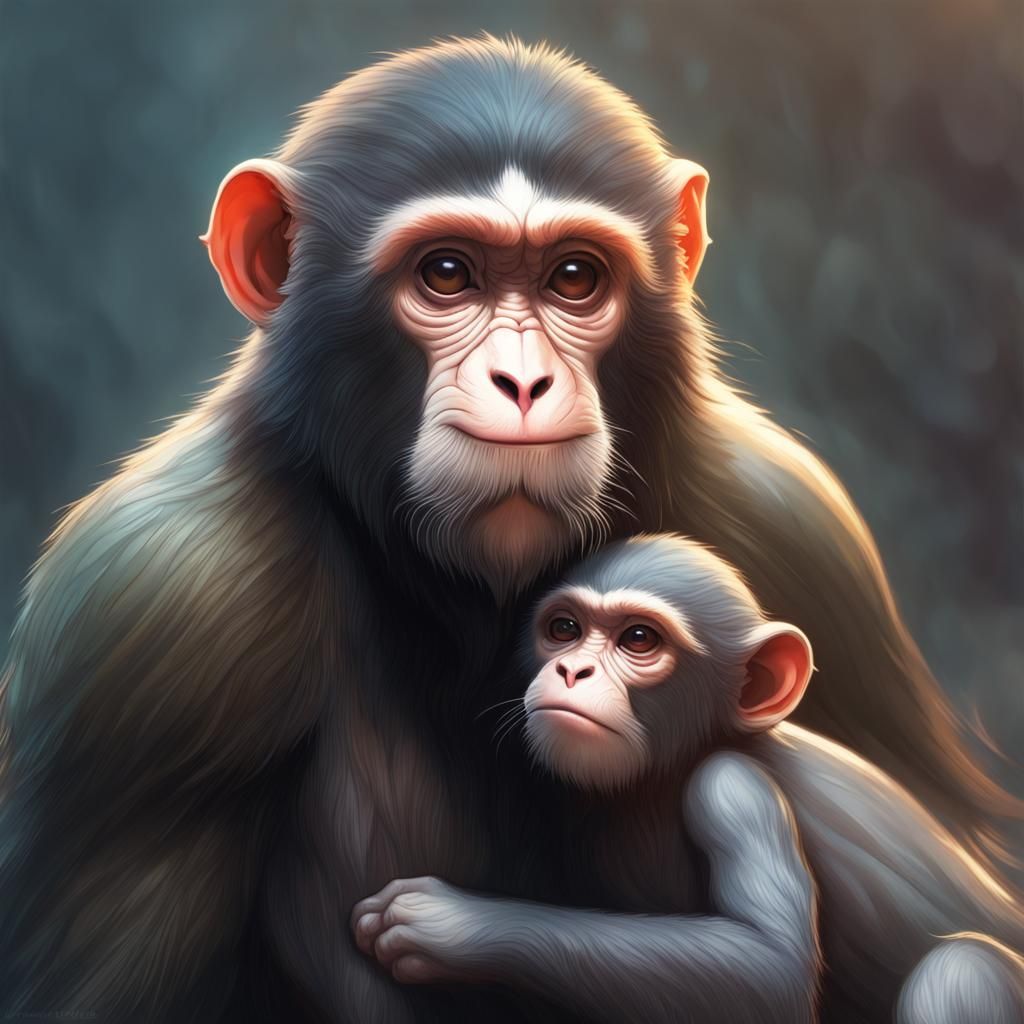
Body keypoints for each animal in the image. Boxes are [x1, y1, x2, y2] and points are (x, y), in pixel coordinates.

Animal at [353, 534, 1024, 1023]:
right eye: (564, 629)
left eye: (639, 638)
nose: (572, 670)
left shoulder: (731, 790)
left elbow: (768, 968)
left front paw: (450, 924)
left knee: (959, 973)